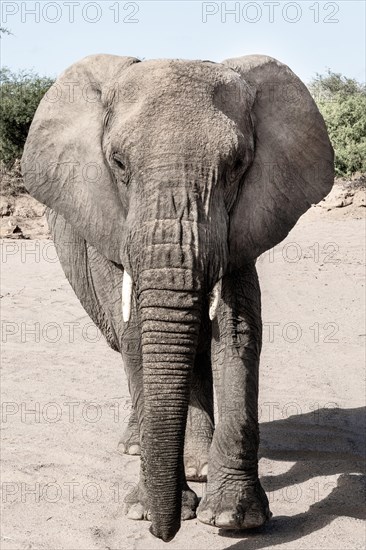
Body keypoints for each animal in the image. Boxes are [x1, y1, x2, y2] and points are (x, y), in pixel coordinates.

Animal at [21, 54, 334, 544]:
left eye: (236, 164)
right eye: (118, 162)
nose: (163, 533)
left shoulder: (245, 218)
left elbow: (236, 332)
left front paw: (231, 519)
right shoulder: (106, 218)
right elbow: (135, 333)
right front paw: (146, 510)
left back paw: (198, 466)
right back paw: (137, 447)